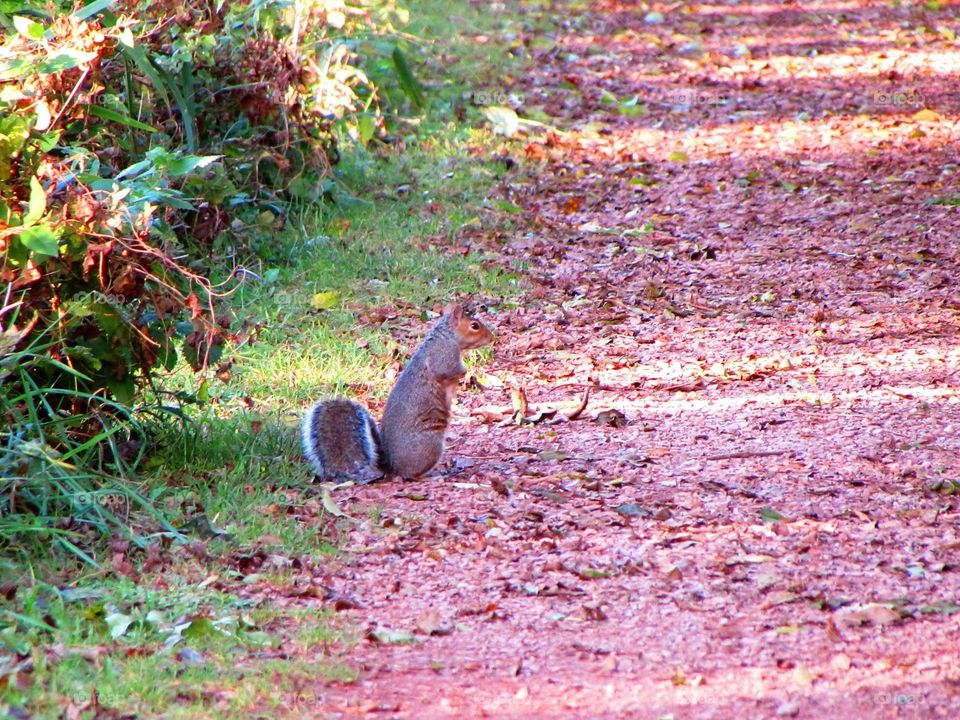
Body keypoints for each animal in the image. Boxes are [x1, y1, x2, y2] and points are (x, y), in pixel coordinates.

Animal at [300, 300, 496, 480]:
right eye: (474, 326)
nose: (491, 337)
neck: (446, 335)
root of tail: (391, 466)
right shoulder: (443, 355)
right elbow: (449, 370)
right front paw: (465, 372)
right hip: (430, 445)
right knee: (410, 475)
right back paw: (433, 475)